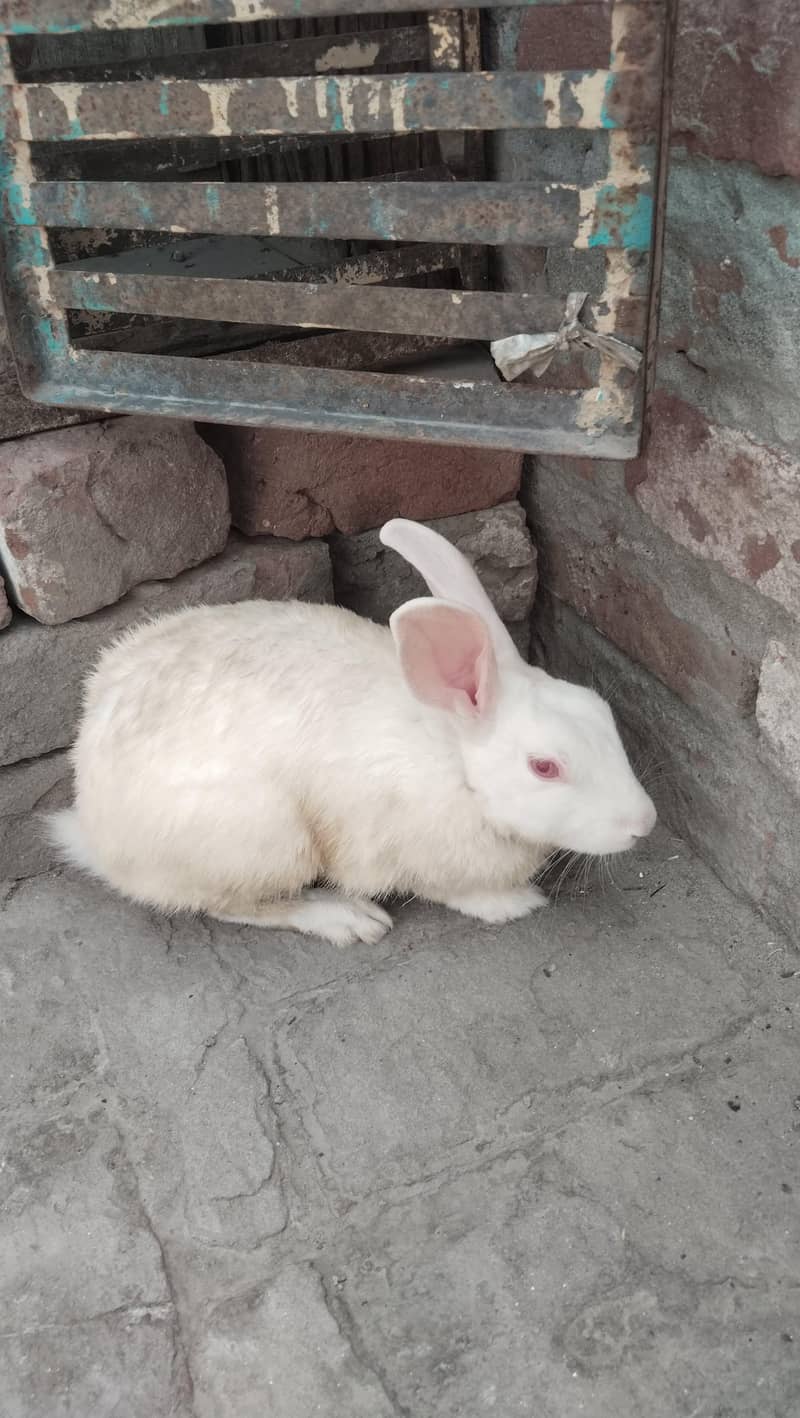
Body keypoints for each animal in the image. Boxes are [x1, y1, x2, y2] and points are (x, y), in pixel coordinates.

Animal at [48, 517, 656, 947]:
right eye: (544, 767)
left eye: (603, 715)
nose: (644, 824)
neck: (458, 766)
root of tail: (96, 829)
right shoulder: (397, 849)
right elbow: (447, 888)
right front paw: (513, 903)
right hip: (265, 837)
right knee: (234, 903)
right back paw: (346, 919)